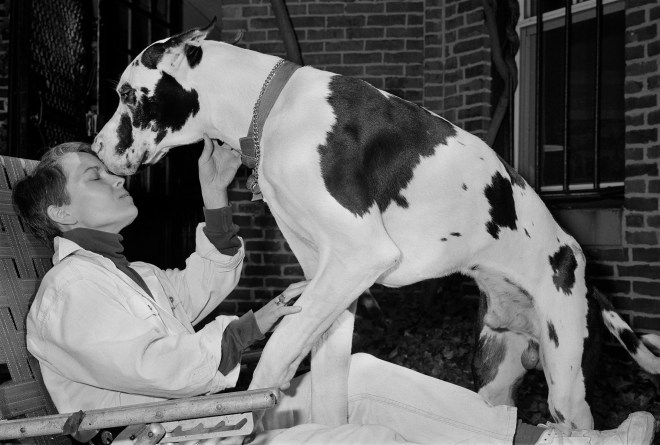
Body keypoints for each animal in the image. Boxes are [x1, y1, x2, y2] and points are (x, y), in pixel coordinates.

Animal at [90, 22, 656, 428]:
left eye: (128, 94)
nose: (94, 148)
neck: (270, 110)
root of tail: (579, 260)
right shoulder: (331, 280)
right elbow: (323, 379)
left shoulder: (360, 257)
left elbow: (276, 351)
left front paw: (251, 409)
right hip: (496, 377)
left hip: (566, 385)